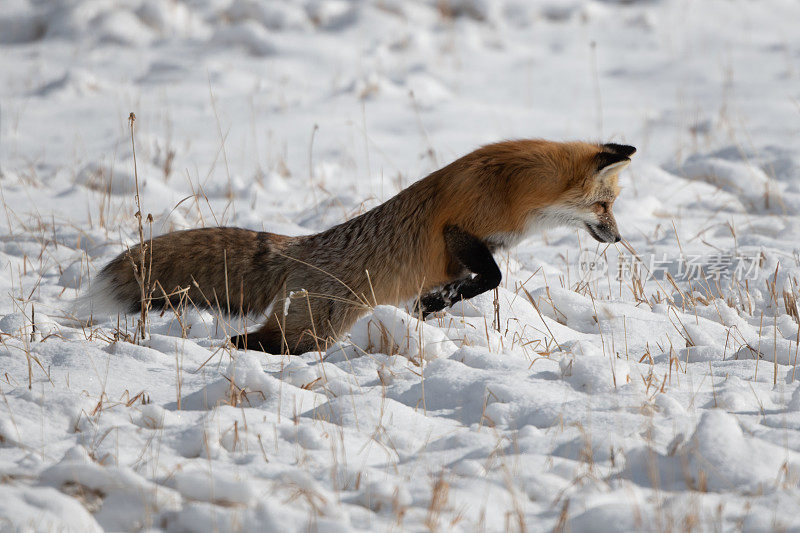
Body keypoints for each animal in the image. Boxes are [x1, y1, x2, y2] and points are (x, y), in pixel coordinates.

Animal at [78, 139, 636, 354]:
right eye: (606, 205)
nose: (620, 237)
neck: (518, 185)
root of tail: (298, 248)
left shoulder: (470, 251)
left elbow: (473, 283)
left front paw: (432, 306)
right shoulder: (461, 230)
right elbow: (492, 277)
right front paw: (433, 303)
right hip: (313, 330)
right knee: (253, 340)